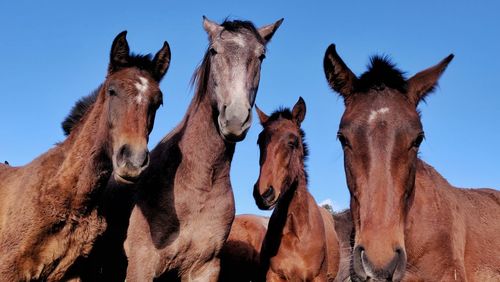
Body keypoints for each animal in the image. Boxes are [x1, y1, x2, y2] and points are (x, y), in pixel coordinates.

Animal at [252, 97, 342, 282]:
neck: (296, 232)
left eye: (293, 142)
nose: (263, 194)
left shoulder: (318, 278)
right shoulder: (273, 276)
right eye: (259, 141)